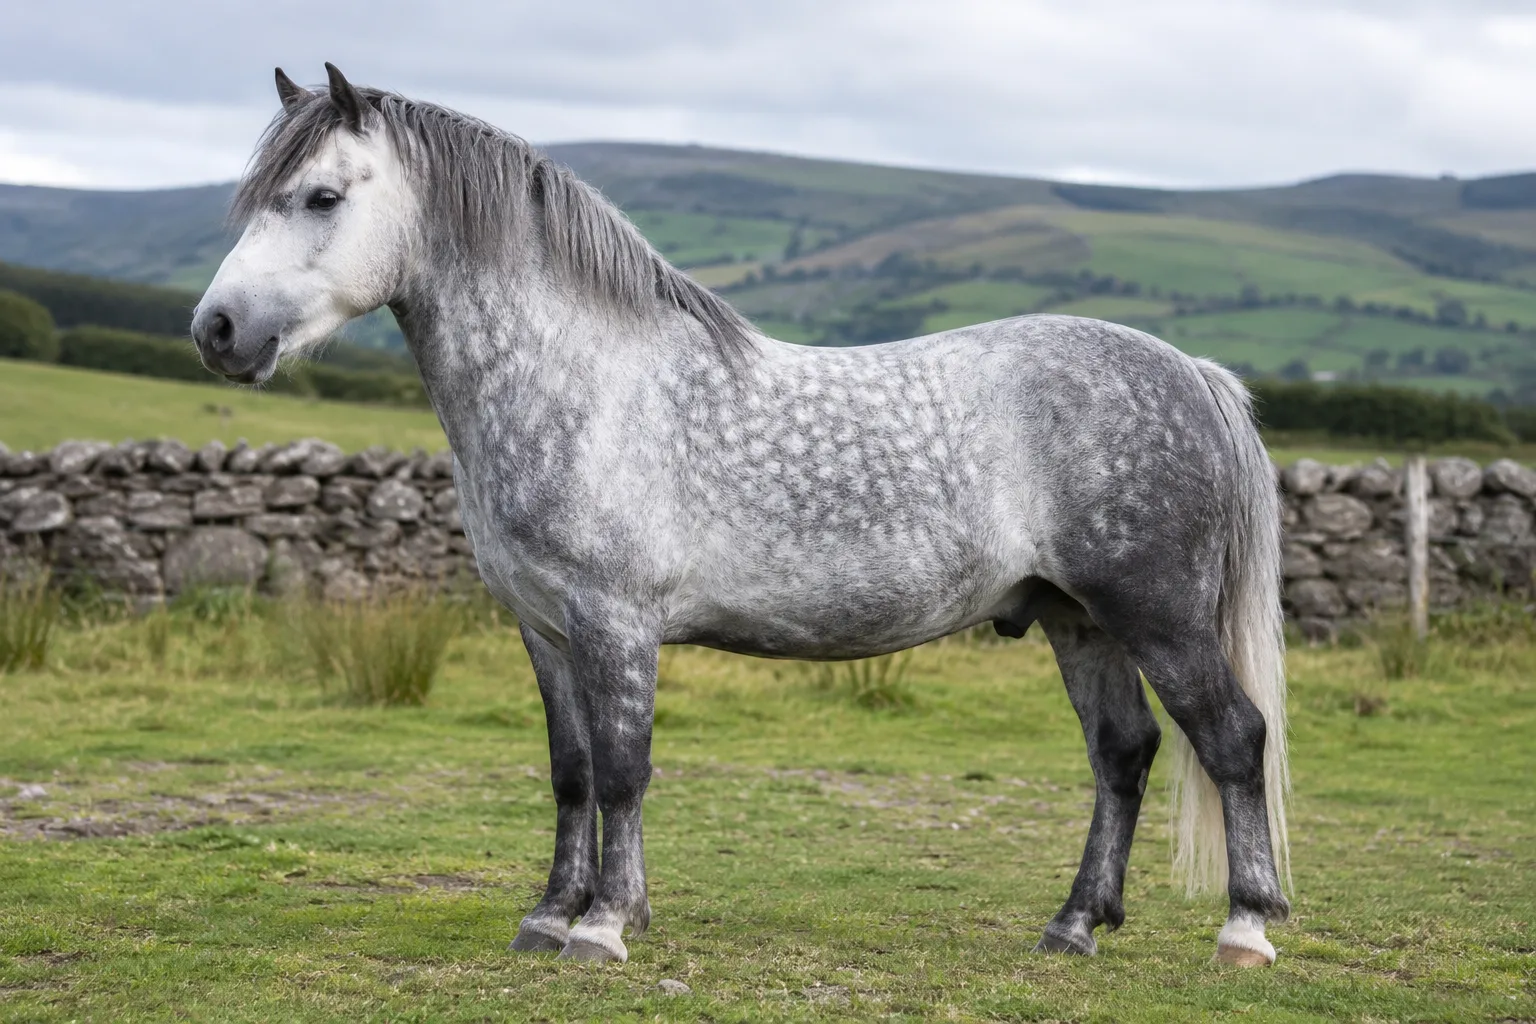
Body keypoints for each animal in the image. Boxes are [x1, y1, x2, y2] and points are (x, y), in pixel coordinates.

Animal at [192, 64, 1292, 967]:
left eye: (323, 196)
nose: (217, 330)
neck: (584, 385)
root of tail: (1189, 373)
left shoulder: (616, 623)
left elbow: (625, 770)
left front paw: (604, 925)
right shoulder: (545, 629)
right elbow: (571, 772)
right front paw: (549, 914)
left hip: (1157, 615)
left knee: (1232, 737)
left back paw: (1244, 928)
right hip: (1079, 619)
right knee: (1124, 754)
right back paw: (1073, 926)